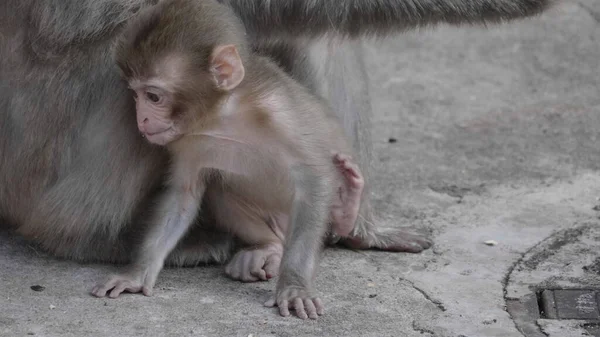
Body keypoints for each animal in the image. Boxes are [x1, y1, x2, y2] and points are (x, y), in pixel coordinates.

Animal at [92, 0, 366, 318]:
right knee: (219, 190)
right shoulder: (187, 144)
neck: (224, 116)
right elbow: (183, 196)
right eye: (135, 96)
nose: (142, 119)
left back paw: (348, 207)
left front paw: (294, 286)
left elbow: (314, 178)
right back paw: (269, 247)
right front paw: (136, 274)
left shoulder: (281, 114)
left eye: (153, 97)